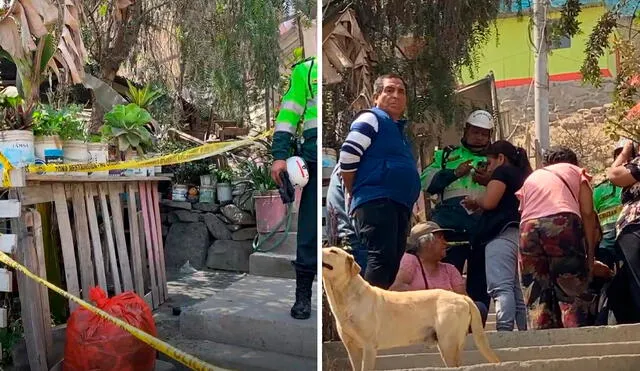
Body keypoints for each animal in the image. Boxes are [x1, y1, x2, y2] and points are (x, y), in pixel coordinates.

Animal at [322, 247, 502, 370]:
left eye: (333, 251)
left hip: (448, 343)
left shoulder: (369, 346)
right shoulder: (351, 348)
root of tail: (462, 297)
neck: (344, 295)